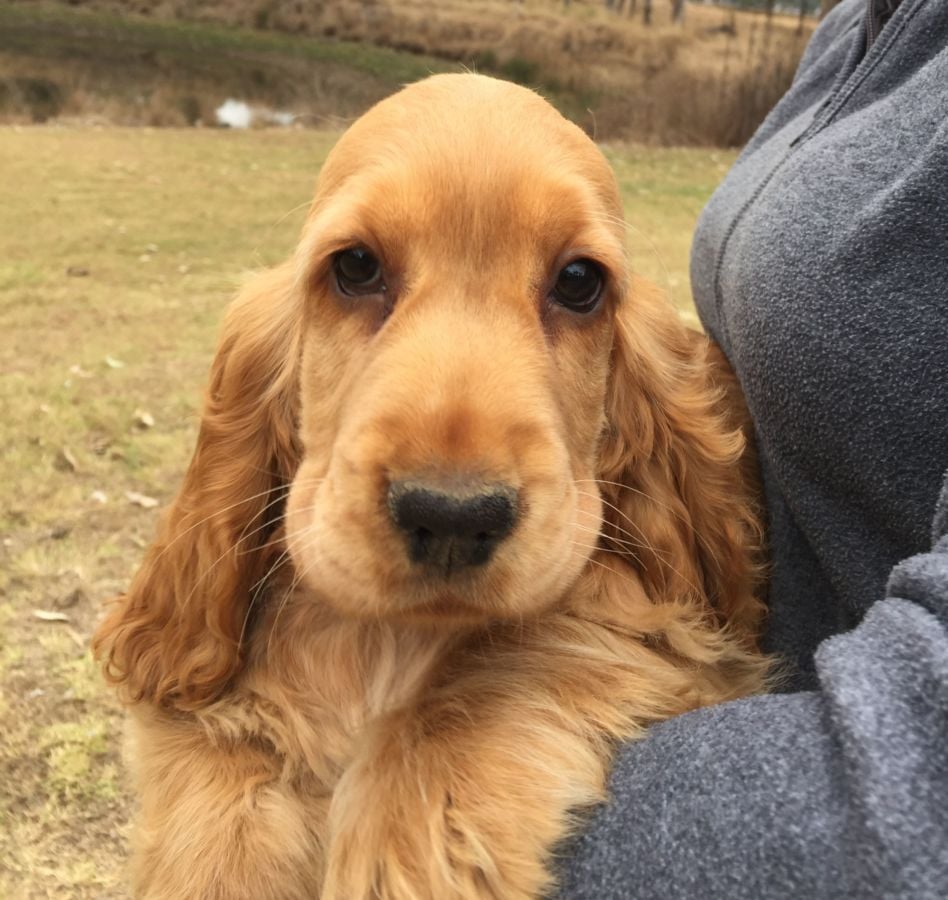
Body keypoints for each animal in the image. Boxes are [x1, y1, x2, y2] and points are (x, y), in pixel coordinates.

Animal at [92, 74, 768, 896]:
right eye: (355, 267)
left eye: (579, 282)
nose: (451, 517)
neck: (389, 637)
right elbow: (220, 783)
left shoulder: (680, 640)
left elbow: (515, 657)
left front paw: (404, 846)